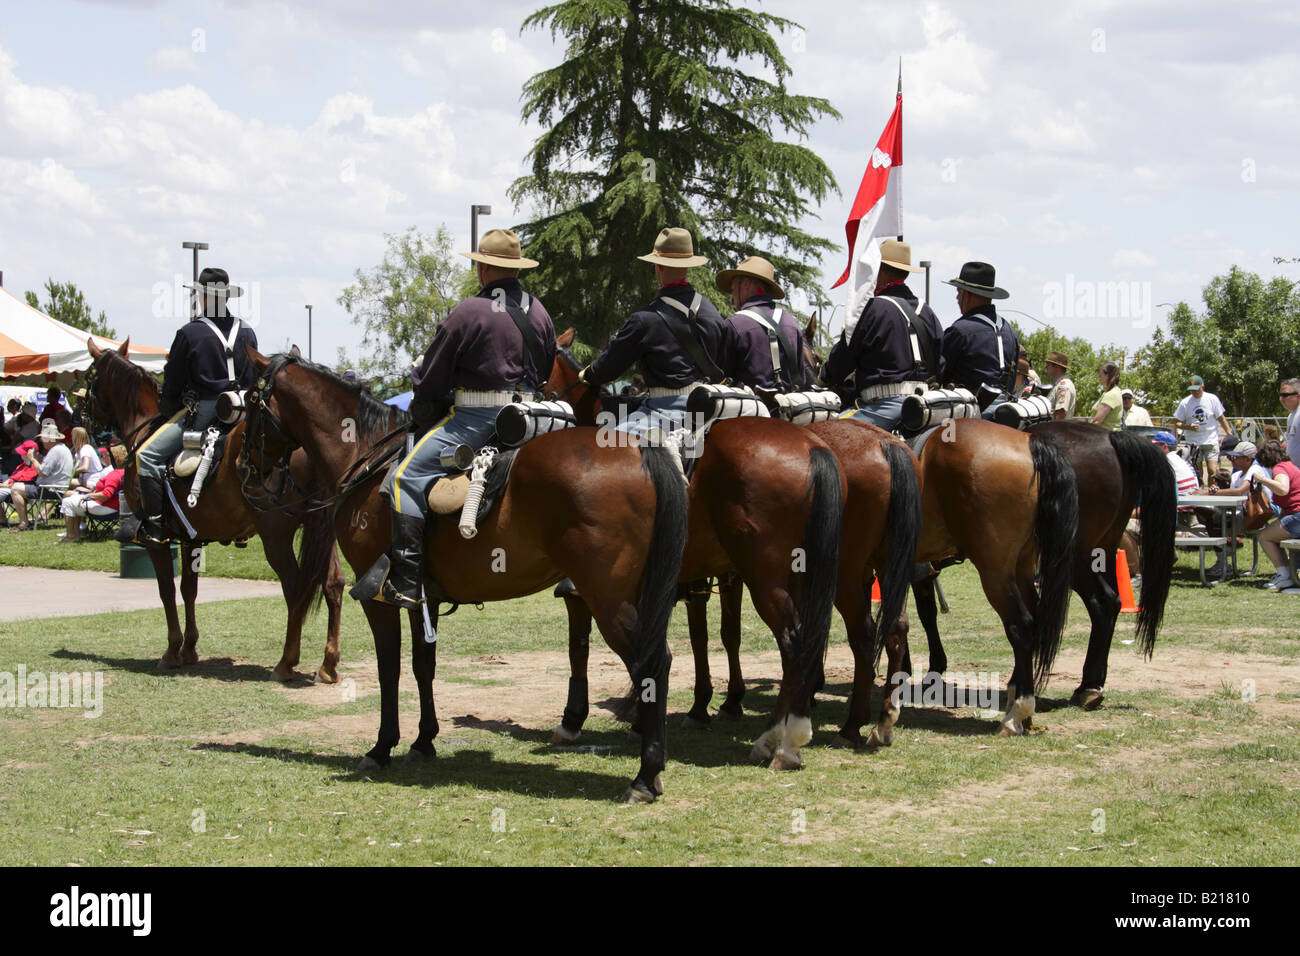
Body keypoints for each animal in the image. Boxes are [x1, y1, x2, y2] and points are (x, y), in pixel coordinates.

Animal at [83, 335, 343, 681]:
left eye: (89, 377)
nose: (82, 417)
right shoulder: (190, 536)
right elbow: (188, 589)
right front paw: (189, 648)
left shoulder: (158, 541)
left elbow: (166, 590)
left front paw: (172, 651)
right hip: (321, 531)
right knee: (333, 584)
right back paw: (328, 664)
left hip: (276, 537)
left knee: (294, 587)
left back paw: (286, 662)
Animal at [243, 348, 691, 806]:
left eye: (248, 403)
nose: (248, 467)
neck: (366, 459)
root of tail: (638, 450)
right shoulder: (422, 599)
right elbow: (423, 666)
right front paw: (423, 741)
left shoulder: (377, 599)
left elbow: (390, 670)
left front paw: (382, 746)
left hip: (608, 599)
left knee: (652, 663)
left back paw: (645, 774)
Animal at [538, 335, 904, 764]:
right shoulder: (700, 577)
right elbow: (709, 636)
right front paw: (701, 705)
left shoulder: (592, 585)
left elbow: (582, 645)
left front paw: (578, 718)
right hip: (870, 569)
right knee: (888, 629)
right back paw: (875, 720)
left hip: (820, 575)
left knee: (823, 640)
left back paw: (795, 737)